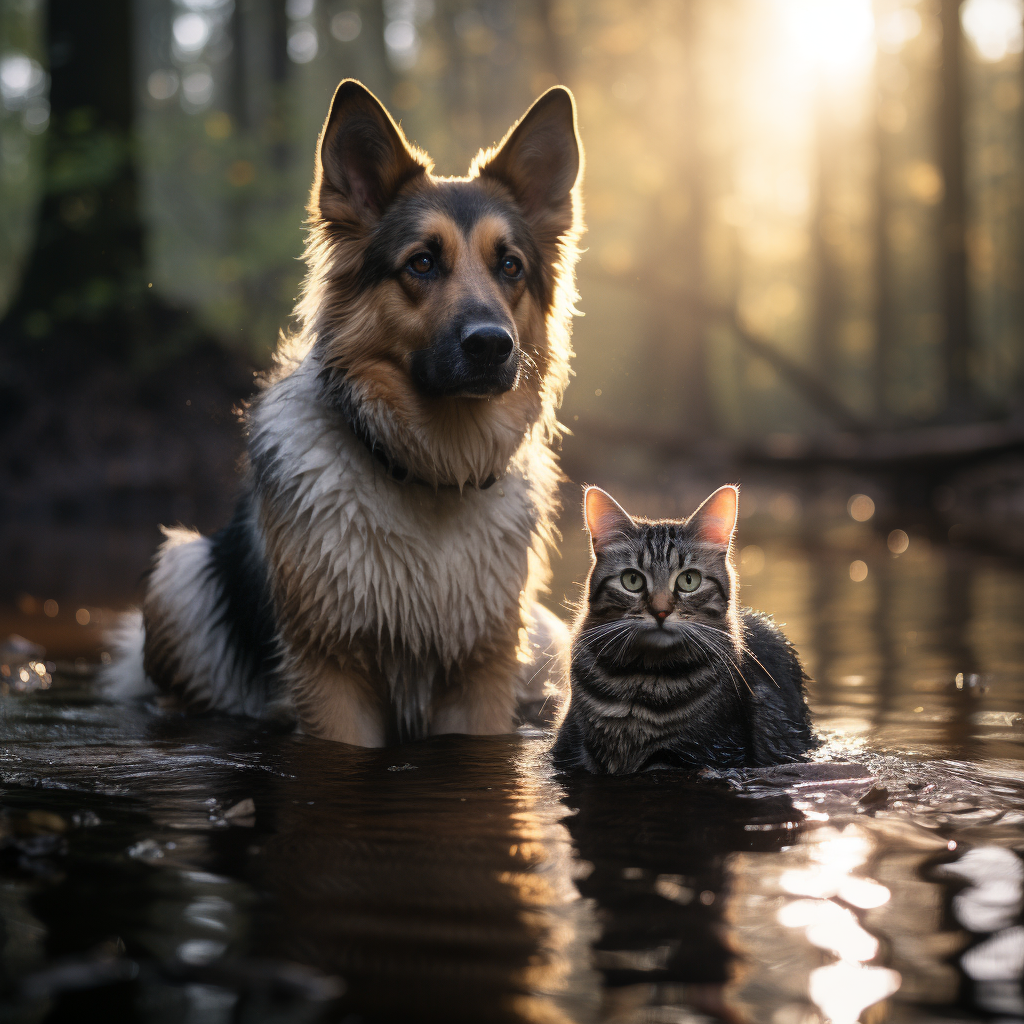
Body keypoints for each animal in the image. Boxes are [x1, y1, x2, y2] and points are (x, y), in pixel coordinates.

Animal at [105, 79, 585, 749]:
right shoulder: (330, 675)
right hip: (179, 572)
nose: (492, 345)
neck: (430, 472)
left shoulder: (481, 675)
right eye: (421, 263)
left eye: (510, 266)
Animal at [552, 483, 815, 770]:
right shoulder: (570, 748)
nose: (661, 611)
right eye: (632, 580)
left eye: (689, 580)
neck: (643, 677)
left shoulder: (709, 751)